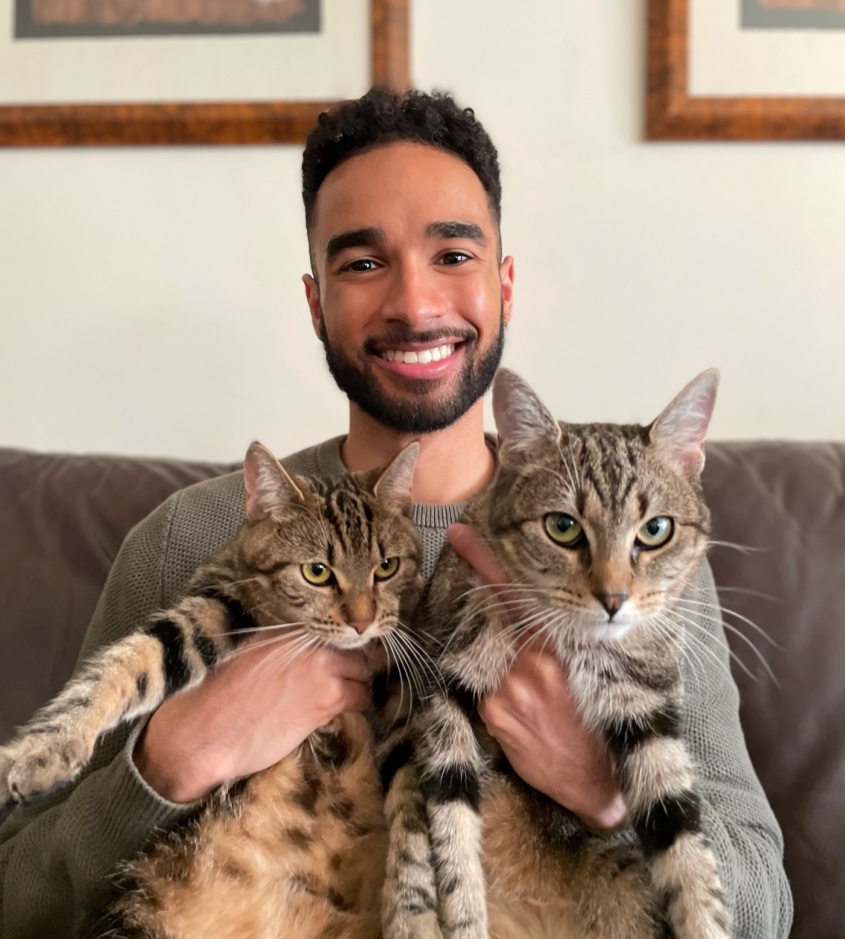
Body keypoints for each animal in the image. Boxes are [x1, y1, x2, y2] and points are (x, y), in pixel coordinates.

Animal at [0, 442, 422, 939]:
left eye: (386, 567)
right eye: (317, 572)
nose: (362, 621)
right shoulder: (213, 606)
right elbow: (129, 662)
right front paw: (45, 748)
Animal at [384, 370, 732, 939]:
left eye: (656, 530)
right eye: (563, 527)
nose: (613, 598)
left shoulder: (646, 705)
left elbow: (685, 844)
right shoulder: (443, 683)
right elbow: (451, 828)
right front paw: (465, 917)